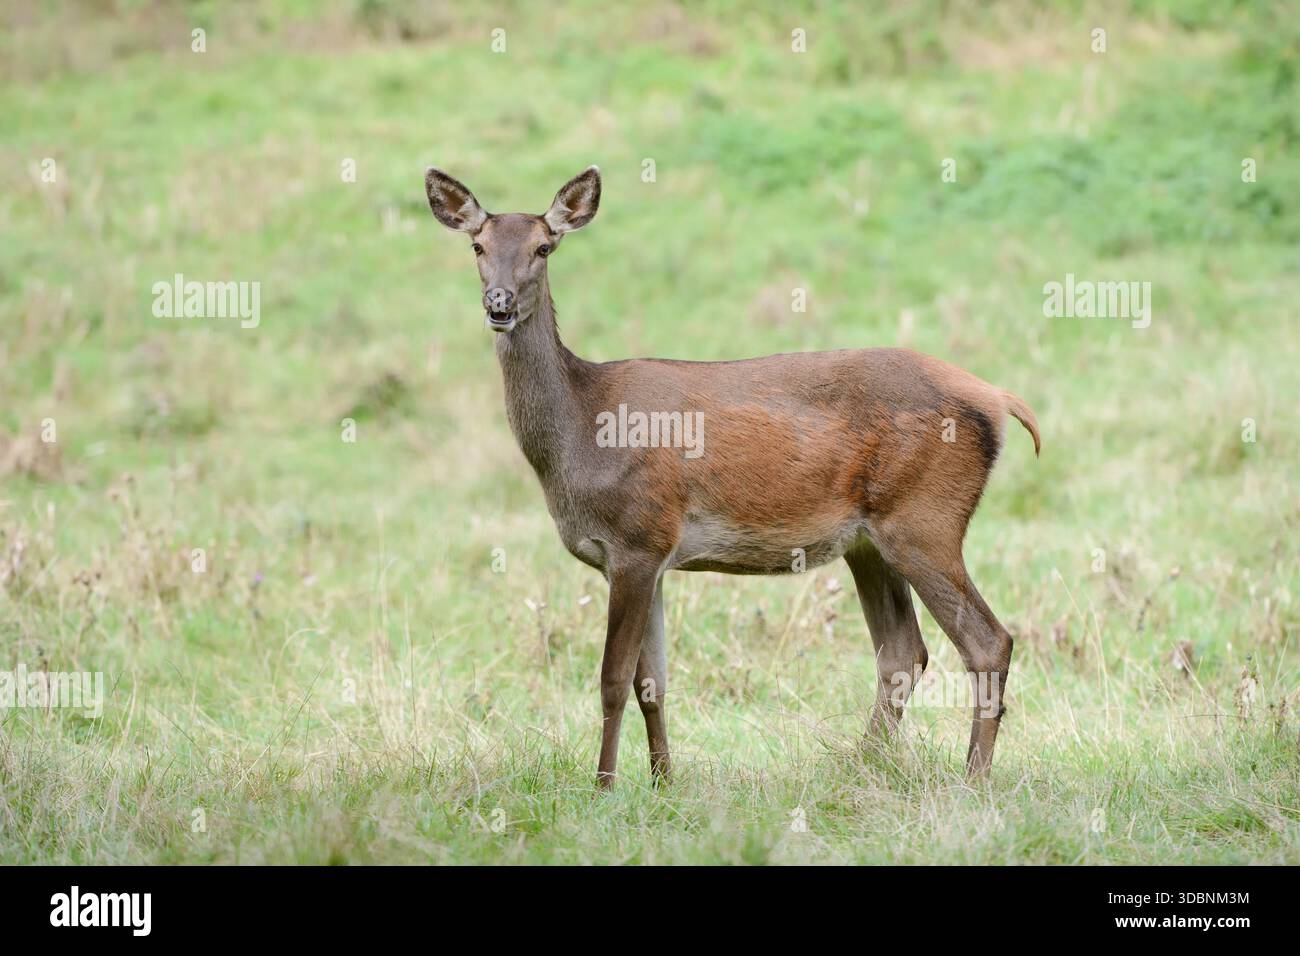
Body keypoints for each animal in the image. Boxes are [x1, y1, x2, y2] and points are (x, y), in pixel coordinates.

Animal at [425, 165, 1041, 789]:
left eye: (544, 247)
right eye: (477, 246)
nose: (499, 304)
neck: (581, 431)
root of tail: (999, 399)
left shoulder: (638, 537)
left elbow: (612, 681)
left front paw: (603, 786)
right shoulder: (648, 558)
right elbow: (652, 681)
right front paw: (662, 781)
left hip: (924, 518)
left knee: (988, 641)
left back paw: (972, 778)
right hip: (869, 541)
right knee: (901, 652)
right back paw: (860, 767)